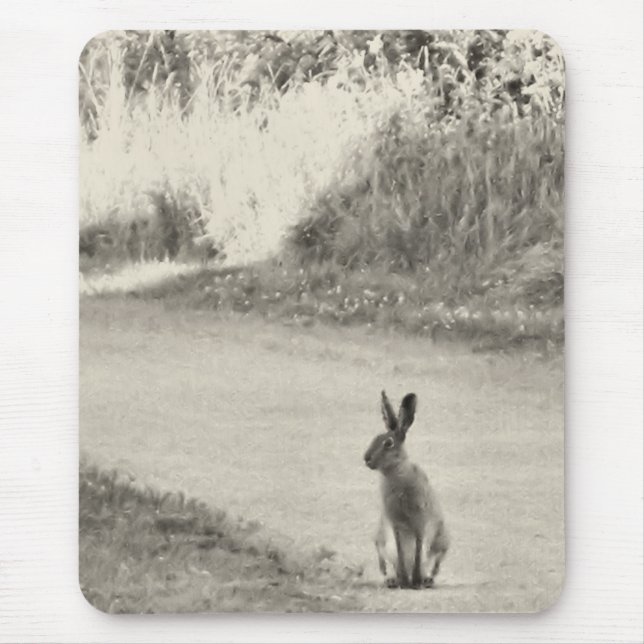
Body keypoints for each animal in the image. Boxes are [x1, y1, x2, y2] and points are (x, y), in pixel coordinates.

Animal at [364, 390, 449, 589]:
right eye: (375, 438)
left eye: (388, 443)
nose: (366, 458)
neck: (397, 472)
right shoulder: (394, 524)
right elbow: (400, 551)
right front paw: (404, 580)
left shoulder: (420, 520)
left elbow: (418, 550)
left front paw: (415, 581)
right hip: (381, 542)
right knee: (387, 564)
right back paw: (394, 580)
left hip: (440, 541)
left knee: (433, 563)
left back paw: (424, 579)